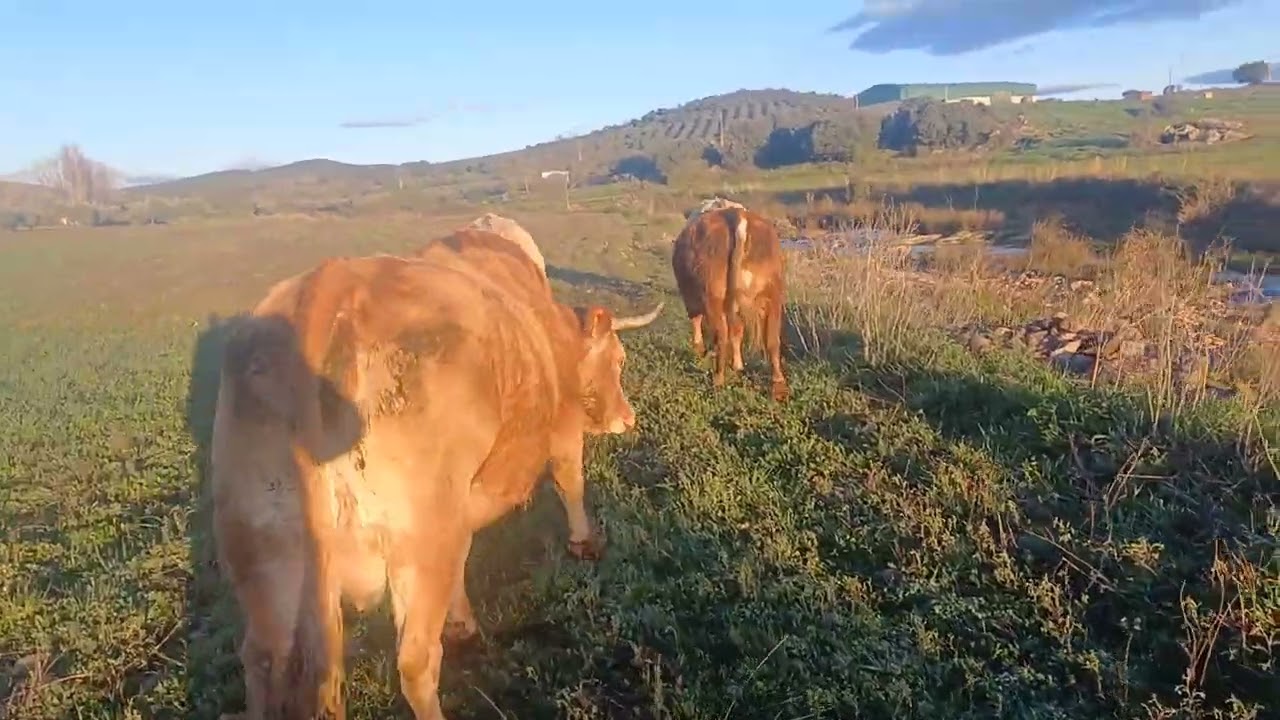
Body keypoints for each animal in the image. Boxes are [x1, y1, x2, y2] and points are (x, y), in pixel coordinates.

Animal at [211, 233, 662, 719]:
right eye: (618, 360)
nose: (628, 418)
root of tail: (329, 286)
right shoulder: (560, 428)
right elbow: (570, 481)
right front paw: (585, 543)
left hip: (264, 552)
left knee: (261, 660)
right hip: (419, 542)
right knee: (415, 660)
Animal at [671, 205, 788, 401]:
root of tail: (736, 214)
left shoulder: (690, 297)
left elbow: (696, 322)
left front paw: (699, 351)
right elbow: (738, 332)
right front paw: (738, 365)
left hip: (713, 296)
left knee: (721, 335)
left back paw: (718, 380)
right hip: (773, 295)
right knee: (771, 340)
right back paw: (778, 387)